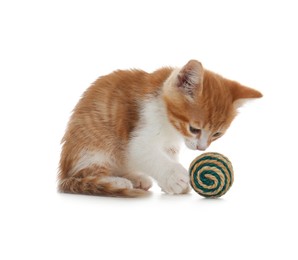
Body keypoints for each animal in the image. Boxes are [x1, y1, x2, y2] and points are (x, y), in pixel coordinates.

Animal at [57, 60, 260, 196]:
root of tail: (63, 175)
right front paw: (175, 177)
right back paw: (118, 182)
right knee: (84, 174)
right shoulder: (141, 130)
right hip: (94, 147)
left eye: (217, 134)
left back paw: (136, 178)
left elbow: (167, 156)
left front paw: (169, 184)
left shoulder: (170, 145)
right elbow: (147, 154)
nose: (201, 148)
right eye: (194, 129)